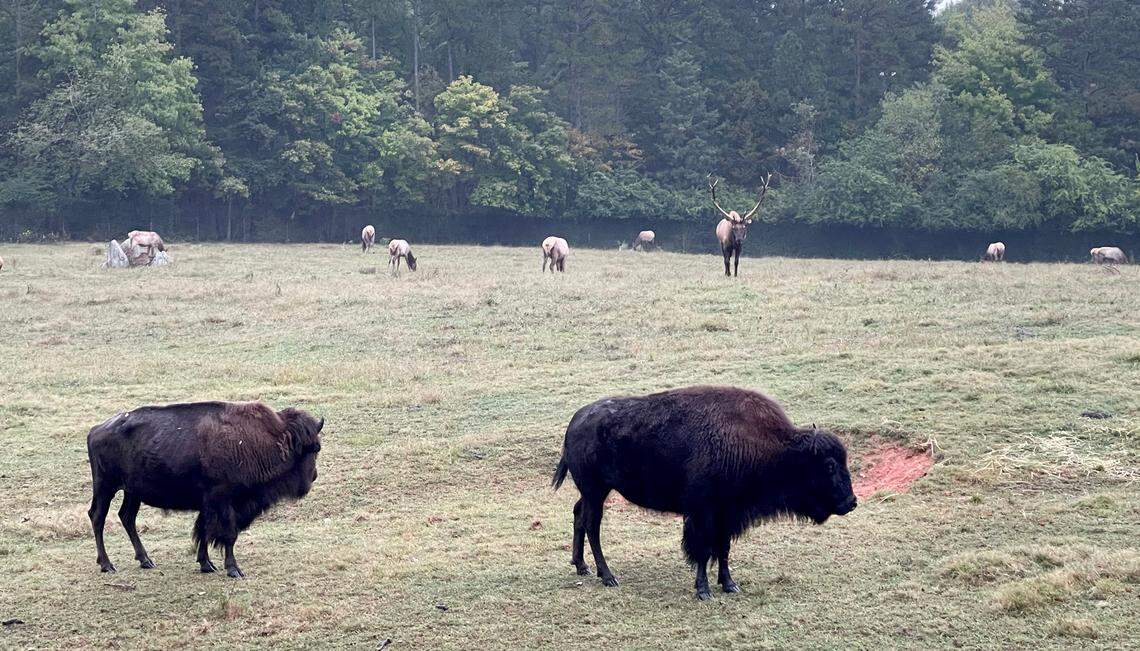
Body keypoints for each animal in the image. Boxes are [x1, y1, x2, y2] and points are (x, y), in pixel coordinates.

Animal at [87, 401, 323, 578]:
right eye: (313, 448)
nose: (313, 476)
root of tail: (95, 430)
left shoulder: (208, 504)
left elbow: (204, 530)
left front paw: (206, 564)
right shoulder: (224, 501)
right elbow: (228, 534)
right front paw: (233, 570)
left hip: (132, 491)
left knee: (127, 517)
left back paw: (146, 560)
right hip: (105, 487)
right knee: (98, 517)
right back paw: (107, 565)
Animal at [552, 385, 857, 600]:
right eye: (829, 465)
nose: (851, 502)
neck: (775, 448)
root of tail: (576, 421)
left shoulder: (727, 514)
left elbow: (723, 548)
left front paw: (730, 585)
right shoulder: (703, 513)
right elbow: (702, 549)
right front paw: (704, 590)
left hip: (594, 491)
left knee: (579, 515)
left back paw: (581, 566)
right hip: (596, 491)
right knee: (592, 525)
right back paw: (608, 576)